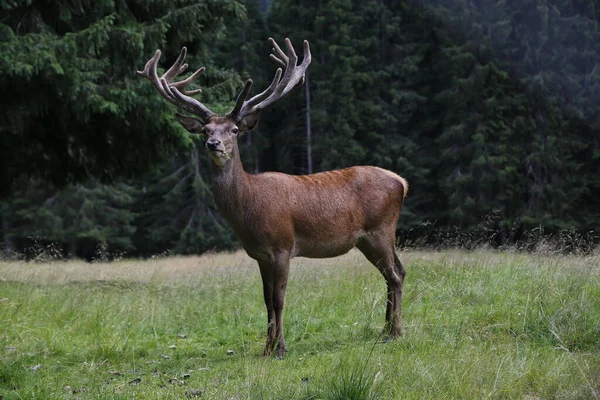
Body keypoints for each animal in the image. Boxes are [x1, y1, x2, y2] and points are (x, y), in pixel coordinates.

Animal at [137, 36, 408, 356]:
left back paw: (395, 331)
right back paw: (385, 329)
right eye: (205, 129)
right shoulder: (259, 254)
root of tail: (402, 182)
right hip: (368, 239)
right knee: (395, 272)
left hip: (381, 229)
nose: (213, 143)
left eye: (234, 130)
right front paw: (267, 347)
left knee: (395, 274)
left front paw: (280, 348)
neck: (249, 211)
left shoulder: (282, 246)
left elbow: (279, 299)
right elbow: (266, 300)